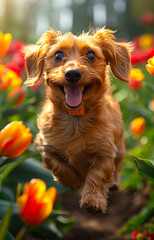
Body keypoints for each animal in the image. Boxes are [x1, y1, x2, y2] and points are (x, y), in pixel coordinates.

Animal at [25, 26, 131, 214]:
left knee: (117, 166)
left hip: (120, 148)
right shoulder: (46, 148)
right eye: (58, 55)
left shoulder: (105, 152)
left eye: (91, 55)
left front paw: (93, 200)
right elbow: (57, 165)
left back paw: (114, 183)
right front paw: (72, 181)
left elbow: (97, 174)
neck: (75, 119)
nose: (73, 74)